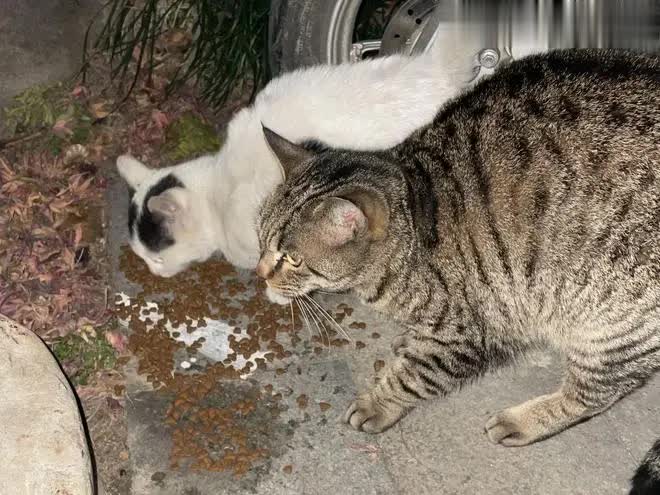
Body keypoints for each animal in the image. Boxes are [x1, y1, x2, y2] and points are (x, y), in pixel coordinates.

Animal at [255, 49, 660, 494]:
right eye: (259, 237)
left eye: (293, 259)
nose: (260, 273)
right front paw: (406, 340)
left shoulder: (472, 328)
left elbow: (414, 376)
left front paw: (378, 403)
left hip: (610, 325)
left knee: (595, 395)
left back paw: (524, 421)